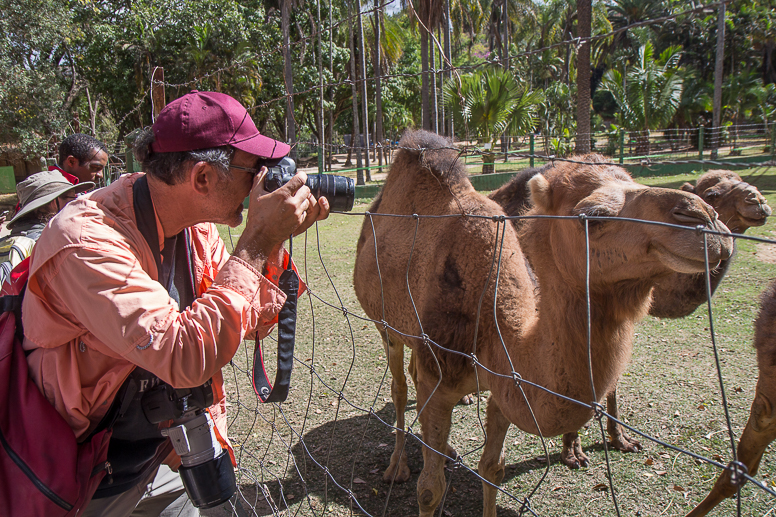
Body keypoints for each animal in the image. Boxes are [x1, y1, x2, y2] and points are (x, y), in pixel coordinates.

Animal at [353, 129, 733, 516]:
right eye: (592, 215)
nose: (705, 218)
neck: (491, 325)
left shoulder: (506, 381)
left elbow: (493, 469)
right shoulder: (440, 378)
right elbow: (430, 489)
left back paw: (445, 451)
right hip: (386, 327)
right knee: (400, 386)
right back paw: (397, 466)